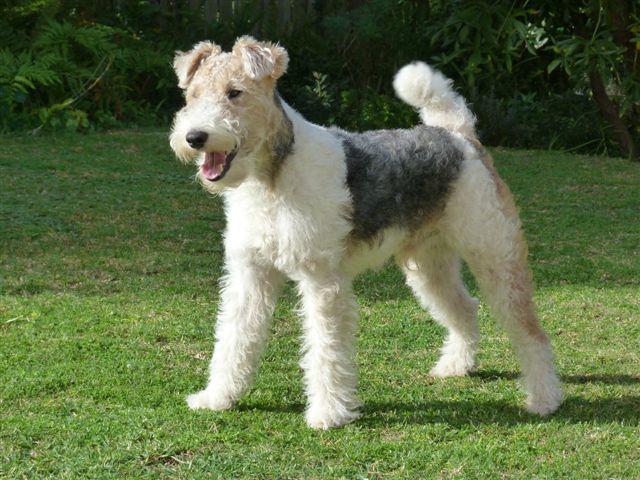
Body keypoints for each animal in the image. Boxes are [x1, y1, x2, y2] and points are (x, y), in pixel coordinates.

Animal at [168, 36, 564, 428]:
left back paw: (544, 398)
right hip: (428, 265)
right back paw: (456, 366)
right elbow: (234, 338)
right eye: (193, 95)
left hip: (494, 254)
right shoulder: (249, 274)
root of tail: (458, 135)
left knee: (530, 330)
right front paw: (217, 397)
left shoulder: (322, 280)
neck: (271, 177)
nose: (194, 137)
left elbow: (326, 348)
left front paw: (328, 413)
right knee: (464, 308)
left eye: (235, 92)